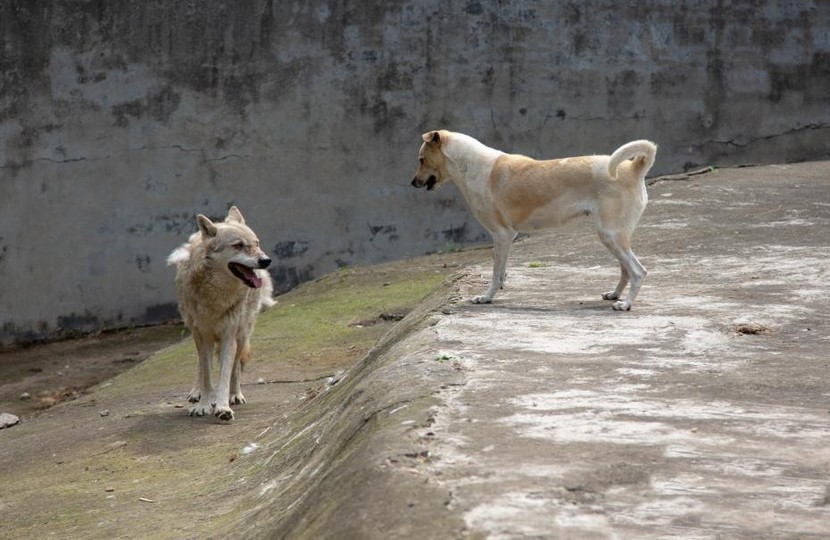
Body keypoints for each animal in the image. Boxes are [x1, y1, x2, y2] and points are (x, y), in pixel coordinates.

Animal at [167, 205, 276, 420]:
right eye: (238, 245)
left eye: (256, 243)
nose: (266, 260)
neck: (215, 295)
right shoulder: (203, 336)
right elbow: (206, 374)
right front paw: (204, 404)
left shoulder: (229, 336)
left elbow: (225, 374)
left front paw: (223, 406)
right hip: (196, 334)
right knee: (201, 366)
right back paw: (197, 392)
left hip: (241, 335)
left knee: (236, 368)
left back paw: (235, 395)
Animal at [412, 129, 660, 312]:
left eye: (421, 160)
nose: (413, 183)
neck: (472, 167)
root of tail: (633, 168)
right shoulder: (507, 238)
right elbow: (501, 272)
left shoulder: (501, 235)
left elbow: (495, 273)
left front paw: (486, 298)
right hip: (615, 237)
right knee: (626, 270)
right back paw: (615, 295)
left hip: (610, 235)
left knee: (638, 272)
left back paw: (626, 304)